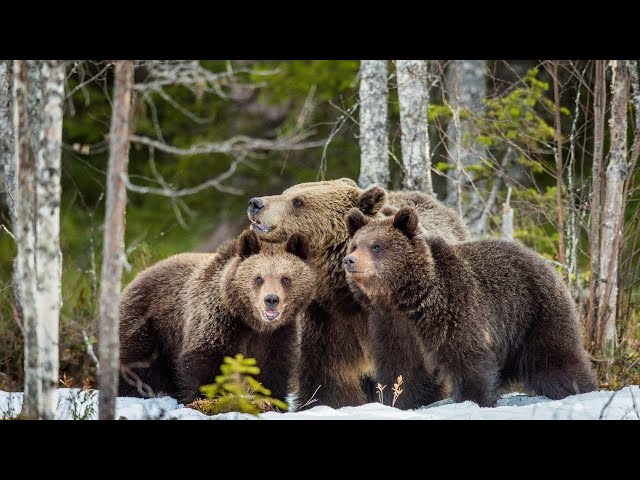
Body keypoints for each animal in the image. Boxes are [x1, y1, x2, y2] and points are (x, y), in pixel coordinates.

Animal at [118, 230, 315, 405]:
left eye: (285, 278)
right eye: (258, 278)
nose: (271, 300)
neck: (251, 322)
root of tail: (135, 278)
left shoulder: (278, 333)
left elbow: (274, 366)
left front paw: (271, 399)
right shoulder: (218, 319)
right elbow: (206, 359)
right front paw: (207, 397)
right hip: (149, 323)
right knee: (135, 363)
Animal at [245, 178, 469, 408]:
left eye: (298, 201)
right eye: (286, 192)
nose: (255, 203)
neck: (346, 294)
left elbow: (411, 370)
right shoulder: (329, 321)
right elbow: (329, 378)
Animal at [343, 206, 597, 408]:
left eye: (376, 246)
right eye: (355, 245)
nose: (350, 260)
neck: (406, 299)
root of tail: (544, 261)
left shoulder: (453, 309)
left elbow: (467, 358)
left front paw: (473, 400)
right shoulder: (391, 326)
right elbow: (400, 369)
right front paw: (398, 401)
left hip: (534, 313)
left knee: (555, 358)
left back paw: (578, 389)